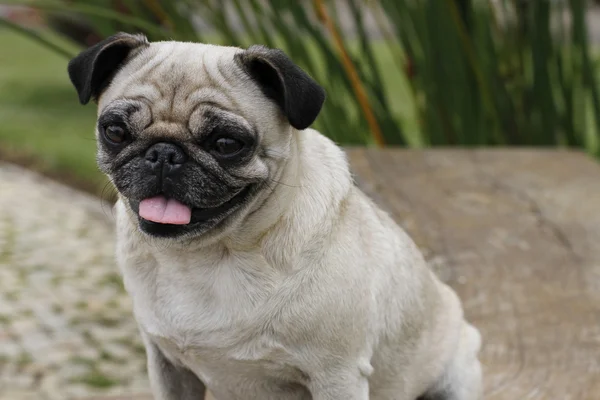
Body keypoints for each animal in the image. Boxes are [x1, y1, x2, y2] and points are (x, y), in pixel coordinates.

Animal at [68, 32, 480, 400]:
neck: (205, 256)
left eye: (227, 143)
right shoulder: (168, 365)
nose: (164, 154)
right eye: (115, 131)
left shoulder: (337, 374)